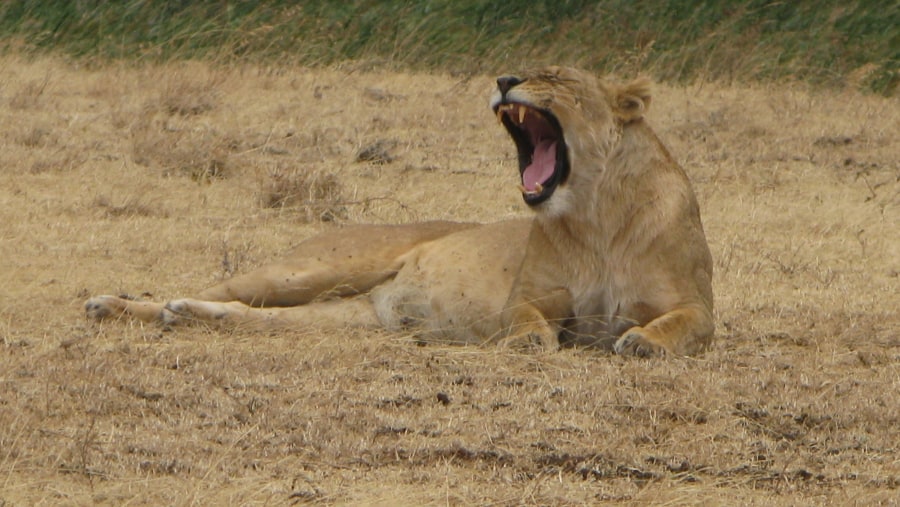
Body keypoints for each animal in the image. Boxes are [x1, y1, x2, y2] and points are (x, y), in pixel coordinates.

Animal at [86, 66, 716, 358]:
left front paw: (644, 342)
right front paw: (532, 342)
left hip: (341, 315)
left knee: (248, 315)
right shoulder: (526, 297)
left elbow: (683, 324)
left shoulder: (695, 304)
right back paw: (113, 304)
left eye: (556, 78)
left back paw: (182, 316)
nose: (505, 79)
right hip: (311, 268)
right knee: (217, 289)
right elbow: (527, 321)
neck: (594, 214)